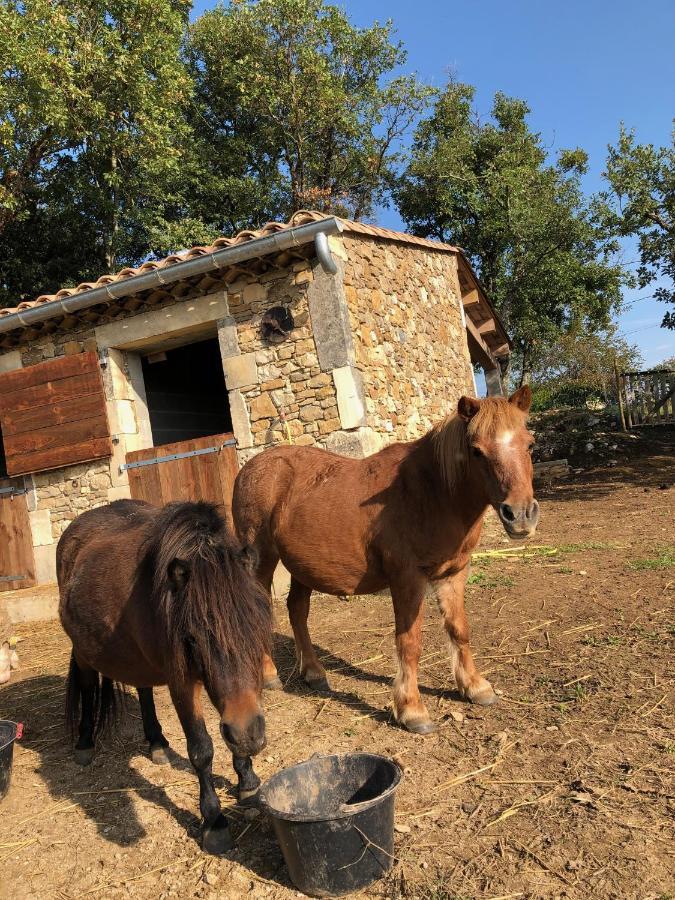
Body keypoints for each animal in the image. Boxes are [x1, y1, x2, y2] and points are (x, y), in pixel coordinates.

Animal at [58, 502, 274, 856]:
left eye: (256, 624)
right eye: (194, 639)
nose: (249, 734)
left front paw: (248, 783)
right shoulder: (182, 682)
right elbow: (202, 750)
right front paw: (214, 823)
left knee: (143, 688)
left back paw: (157, 742)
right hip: (83, 652)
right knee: (88, 689)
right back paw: (85, 743)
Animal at [235, 384, 540, 732]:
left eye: (530, 444)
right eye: (476, 451)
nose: (520, 515)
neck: (431, 492)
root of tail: (252, 467)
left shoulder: (454, 573)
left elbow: (459, 630)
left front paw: (475, 687)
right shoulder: (408, 579)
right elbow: (409, 642)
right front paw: (412, 710)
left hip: (302, 568)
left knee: (297, 610)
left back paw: (314, 673)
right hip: (261, 561)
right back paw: (269, 675)